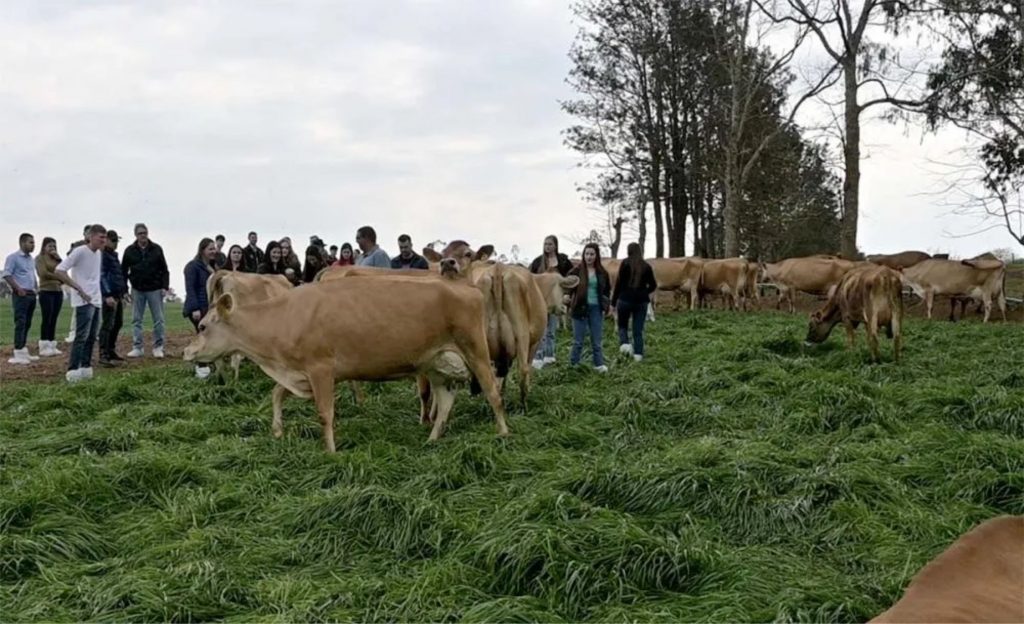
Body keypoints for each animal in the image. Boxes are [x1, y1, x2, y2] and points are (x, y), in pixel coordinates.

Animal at [182, 274, 509, 450]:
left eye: (203, 326)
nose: (186, 352)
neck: (285, 317)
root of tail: (468, 287)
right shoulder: (300, 372)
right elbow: (276, 393)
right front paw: (277, 430)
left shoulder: (320, 369)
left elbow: (325, 414)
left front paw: (330, 451)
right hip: (436, 364)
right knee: (445, 402)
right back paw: (432, 439)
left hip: (474, 350)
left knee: (493, 392)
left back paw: (503, 434)